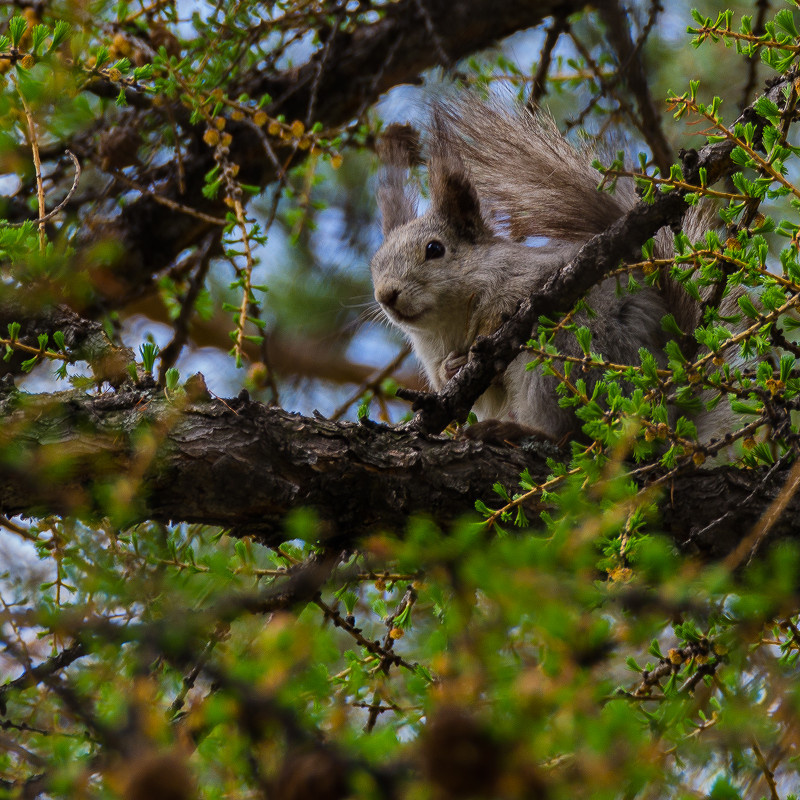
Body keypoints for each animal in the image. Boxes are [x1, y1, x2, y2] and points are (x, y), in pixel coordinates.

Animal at [374, 98, 720, 444]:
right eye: (375, 264)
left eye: (434, 249)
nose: (385, 295)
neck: (448, 326)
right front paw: (451, 368)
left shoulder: (529, 274)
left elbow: (509, 304)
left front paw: (481, 340)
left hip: (563, 356)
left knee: (566, 429)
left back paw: (512, 430)